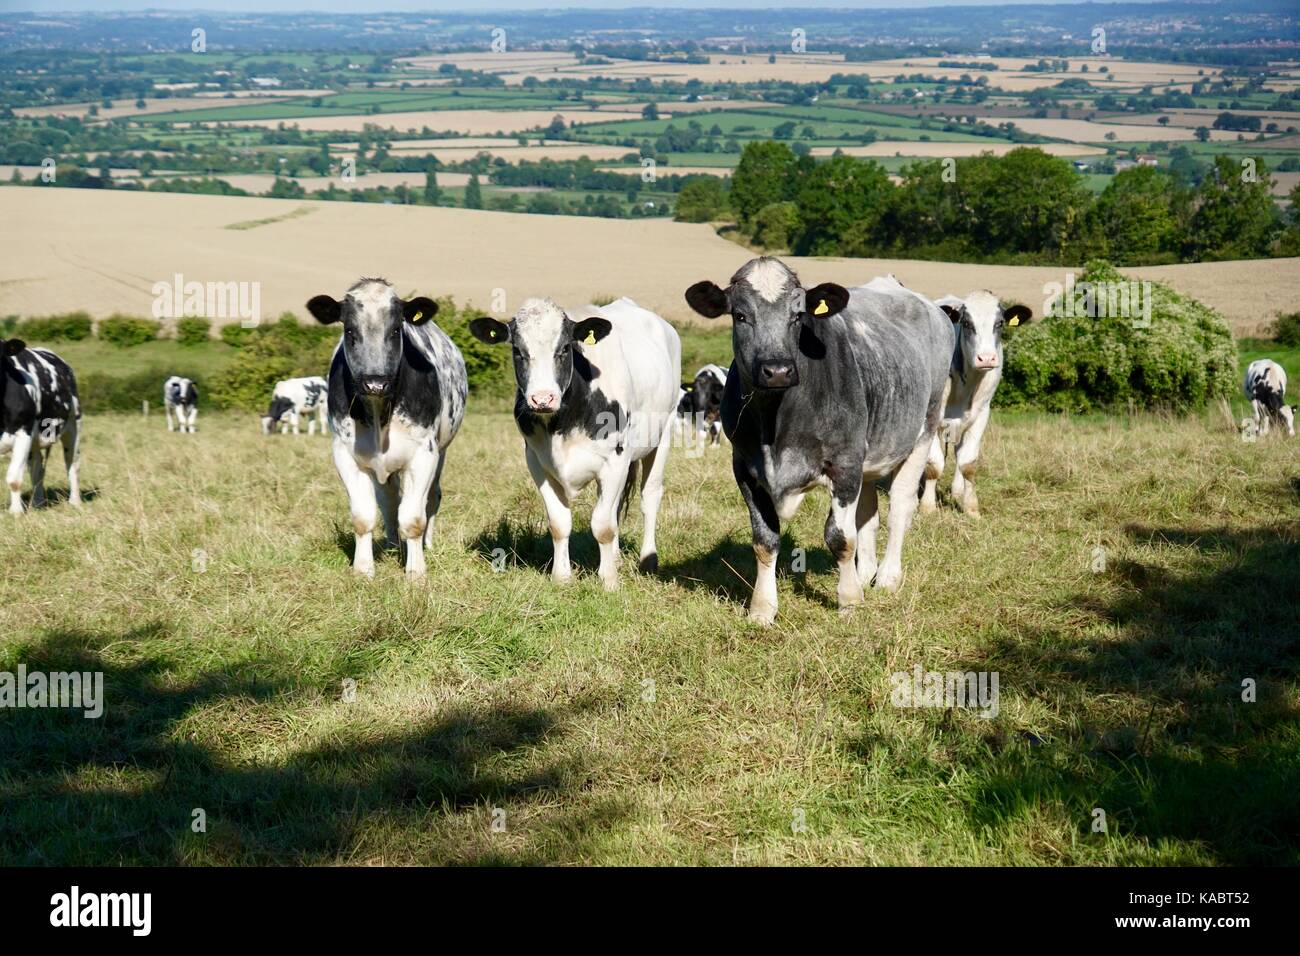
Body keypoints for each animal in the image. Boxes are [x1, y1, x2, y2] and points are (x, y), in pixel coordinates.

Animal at [1, 339, 82, 513]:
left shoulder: (23, 431)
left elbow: (14, 478)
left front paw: (16, 512)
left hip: (74, 424)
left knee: (72, 462)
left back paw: (75, 501)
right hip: (35, 441)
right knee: (37, 469)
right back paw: (38, 503)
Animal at [307, 278, 467, 580]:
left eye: (395, 330)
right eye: (349, 330)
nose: (375, 382)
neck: (378, 412)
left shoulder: (424, 453)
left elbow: (413, 518)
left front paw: (416, 573)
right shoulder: (345, 454)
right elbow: (364, 516)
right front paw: (363, 569)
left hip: (442, 451)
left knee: (432, 497)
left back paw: (426, 544)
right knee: (389, 501)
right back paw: (394, 546)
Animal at [470, 295, 681, 590]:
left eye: (565, 348)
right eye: (518, 351)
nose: (542, 399)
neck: (562, 424)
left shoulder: (615, 460)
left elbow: (602, 525)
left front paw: (608, 581)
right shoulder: (536, 462)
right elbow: (560, 523)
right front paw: (562, 577)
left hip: (663, 434)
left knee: (649, 496)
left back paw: (647, 561)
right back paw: (617, 558)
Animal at [684, 258, 954, 624]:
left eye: (798, 316)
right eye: (740, 315)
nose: (777, 370)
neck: (776, 425)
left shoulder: (844, 463)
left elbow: (840, 537)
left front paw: (849, 601)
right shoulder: (744, 468)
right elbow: (765, 540)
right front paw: (762, 609)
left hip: (924, 428)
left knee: (900, 505)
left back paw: (886, 577)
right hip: (868, 454)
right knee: (869, 514)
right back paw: (865, 573)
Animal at [920, 291, 1033, 516]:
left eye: (1000, 323)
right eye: (966, 322)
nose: (986, 358)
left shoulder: (981, 415)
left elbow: (968, 463)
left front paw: (971, 507)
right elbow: (934, 464)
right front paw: (927, 507)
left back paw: (957, 492)